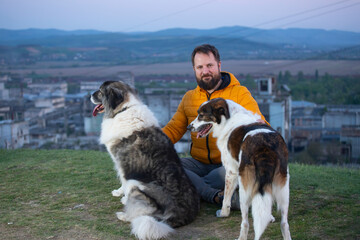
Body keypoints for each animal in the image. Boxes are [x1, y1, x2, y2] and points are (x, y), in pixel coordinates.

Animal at [90, 81, 200, 240]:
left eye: (100, 91)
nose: (89, 95)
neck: (123, 109)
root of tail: (181, 214)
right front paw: (118, 193)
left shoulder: (122, 164)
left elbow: (124, 182)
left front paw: (123, 198)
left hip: (138, 186)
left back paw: (124, 215)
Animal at [187, 98, 292, 240]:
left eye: (201, 115)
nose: (189, 127)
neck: (229, 118)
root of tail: (265, 148)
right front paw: (270, 217)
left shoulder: (231, 172)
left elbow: (226, 198)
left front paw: (223, 213)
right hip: (284, 189)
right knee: (284, 224)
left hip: (244, 188)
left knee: (245, 222)